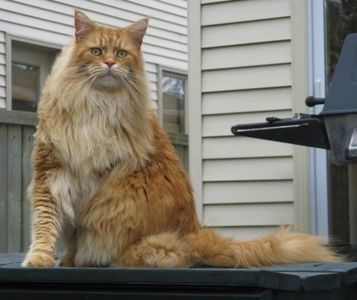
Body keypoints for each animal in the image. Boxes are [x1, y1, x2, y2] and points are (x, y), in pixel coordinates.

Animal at [22, 9, 340, 268]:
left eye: (122, 54)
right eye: (97, 51)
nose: (111, 63)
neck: (97, 104)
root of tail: (195, 231)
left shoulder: (96, 180)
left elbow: (72, 229)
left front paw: (70, 259)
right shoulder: (52, 171)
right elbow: (47, 223)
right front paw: (45, 258)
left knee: (169, 254)